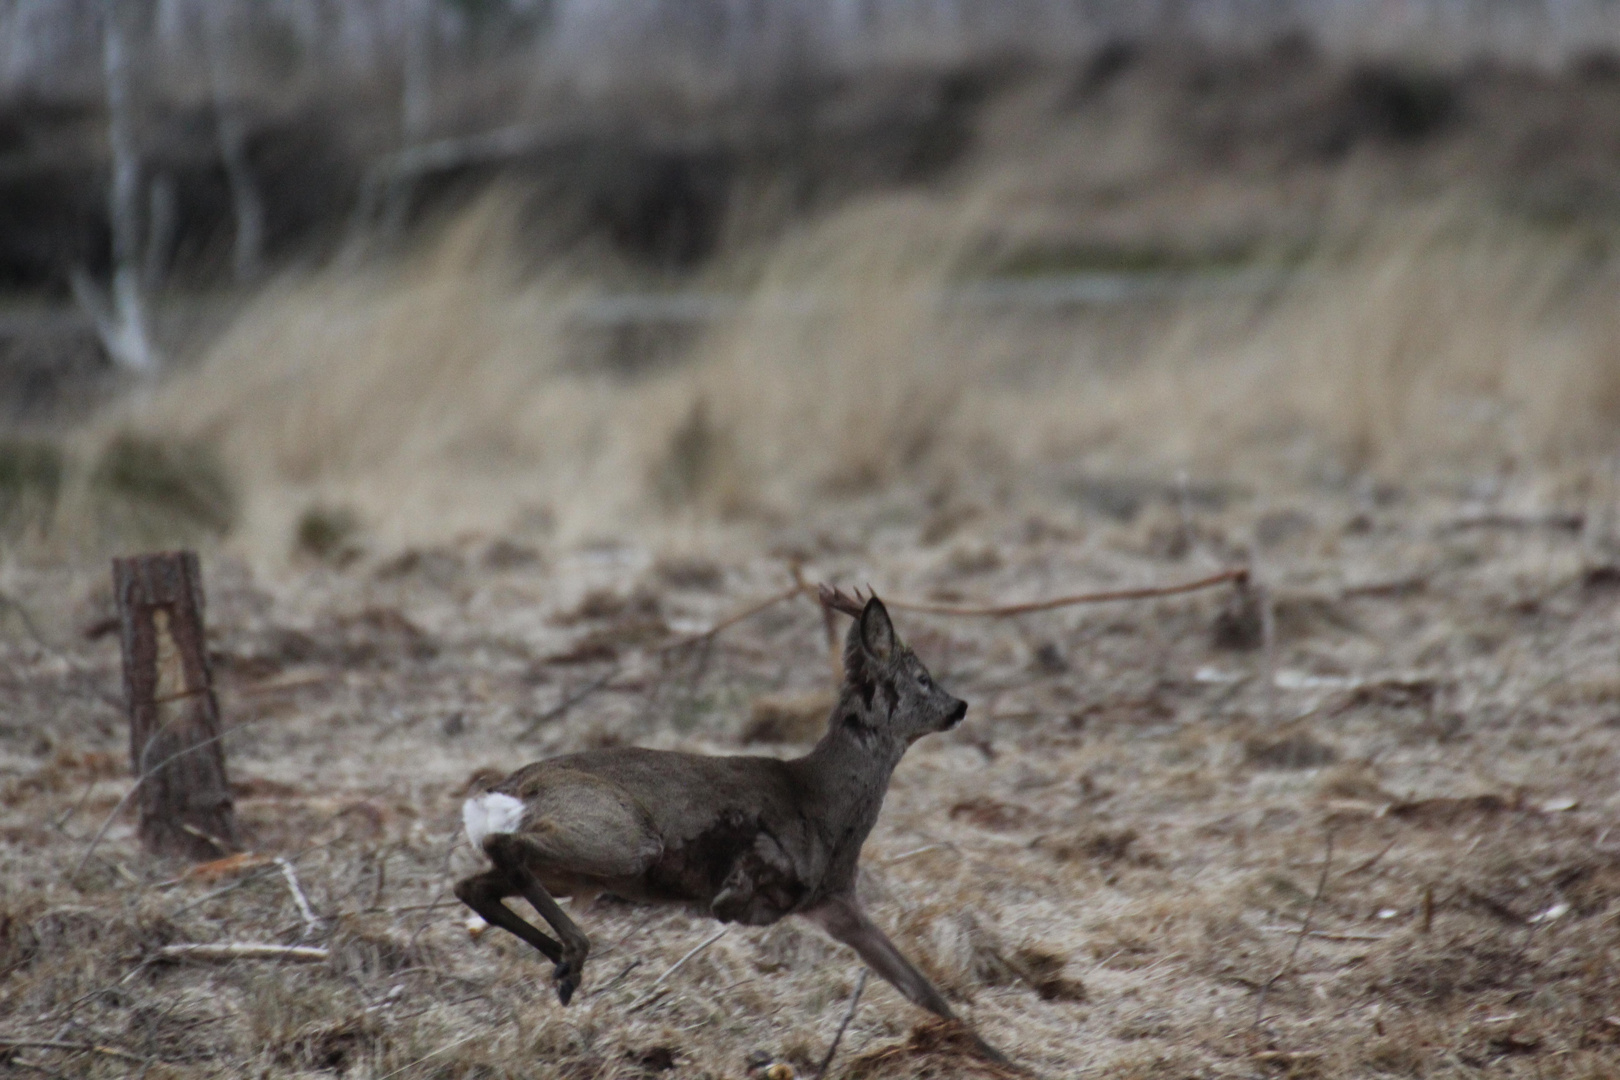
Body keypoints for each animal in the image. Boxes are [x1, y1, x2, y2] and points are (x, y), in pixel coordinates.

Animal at [447, 592, 997, 1055]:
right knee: (505, 847)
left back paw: (561, 964)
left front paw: (995, 1056)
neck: (824, 804)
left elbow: (922, 988)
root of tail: (511, 788)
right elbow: (735, 887)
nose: (960, 707)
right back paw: (574, 954)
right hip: (620, 841)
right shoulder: (759, 877)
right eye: (922, 677)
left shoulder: (833, 901)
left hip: (577, 869)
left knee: (473, 884)